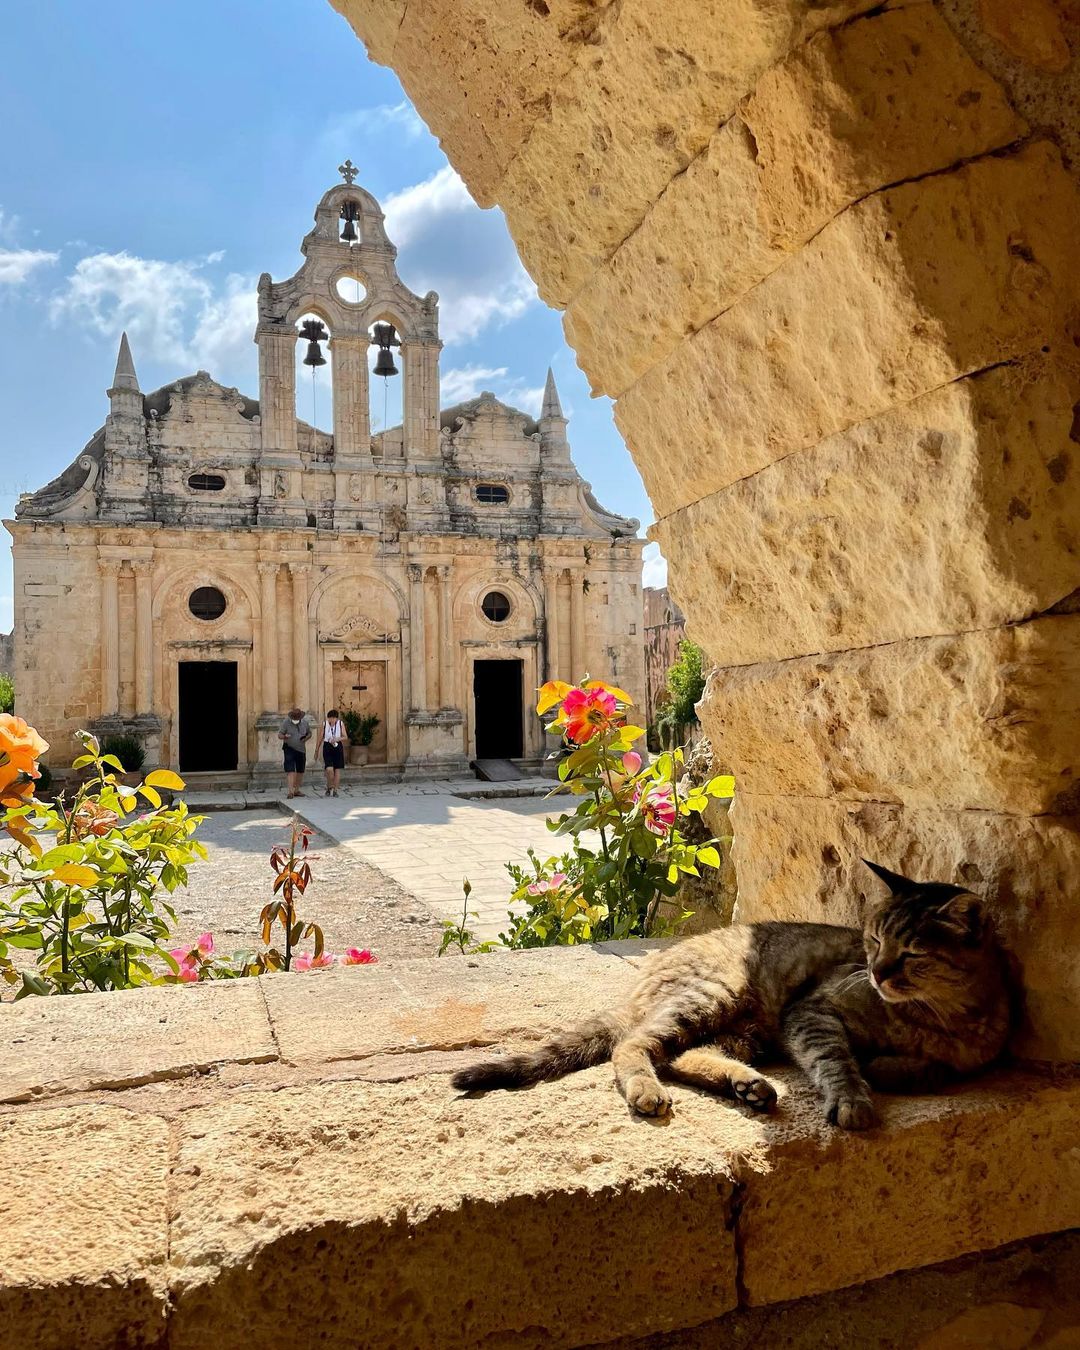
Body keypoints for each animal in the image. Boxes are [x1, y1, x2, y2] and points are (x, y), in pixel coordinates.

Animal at [448, 864, 1015, 1128]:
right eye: (874, 939)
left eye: (913, 952)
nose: (875, 972)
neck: (932, 1017)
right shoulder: (812, 1011)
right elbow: (837, 1061)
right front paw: (854, 1096)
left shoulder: (976, 1054)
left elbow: (940, 1068)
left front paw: (894, 1067)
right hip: (714, 996)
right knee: (634, 1046)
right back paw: (649, 1091)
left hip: (741, 1029)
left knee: (681, 1055)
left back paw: (749, 1086)